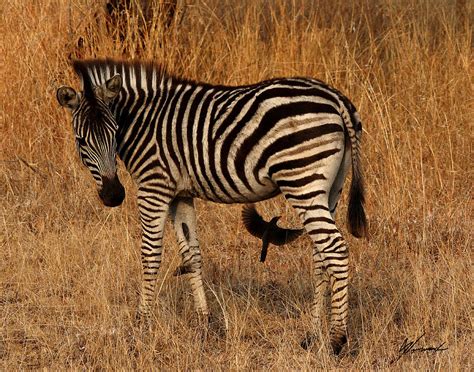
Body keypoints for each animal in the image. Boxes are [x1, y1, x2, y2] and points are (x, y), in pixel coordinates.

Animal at [55, 58, 366, 354]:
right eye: (81, 141)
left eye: (115, 132)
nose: (113, 196)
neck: (145, 122)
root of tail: (335, 98)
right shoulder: (180, 194)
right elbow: (192, 255)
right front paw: (204, 323)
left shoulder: (154, 187)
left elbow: (150, 255)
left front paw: (141, 323)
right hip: (330, 188)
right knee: (320, 256)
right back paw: (313, 335)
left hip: (301, 180)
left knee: (335, 250)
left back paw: (337, 340)